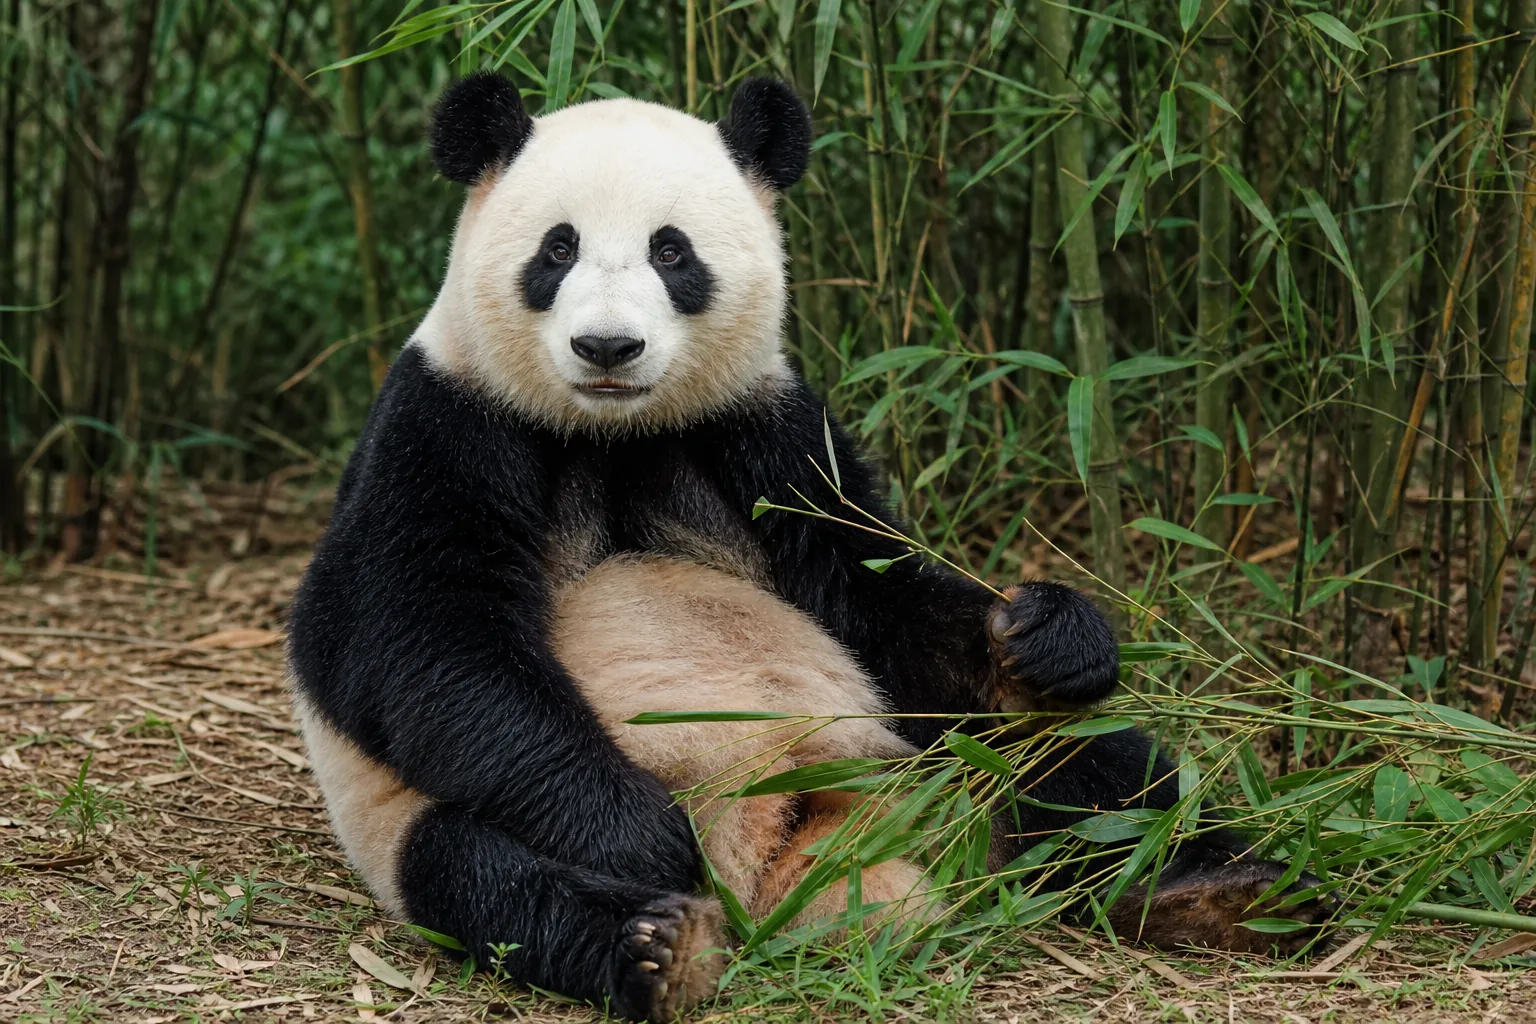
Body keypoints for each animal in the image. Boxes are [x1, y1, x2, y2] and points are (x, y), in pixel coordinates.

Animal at [288, 74, 1325, 1023]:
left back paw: (1224, 890)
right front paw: (643, 839)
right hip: (413, 829)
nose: (608, 348)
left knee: (1081, 765)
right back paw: (660, 947)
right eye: (558, 248)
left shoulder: (767, 430)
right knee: (489, 876)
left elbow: (878, 597)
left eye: (671, 251)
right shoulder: (446, 424)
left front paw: (1045, 632)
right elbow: (422, 651)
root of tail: (786, 845)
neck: (614, 431)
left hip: (942, 750)